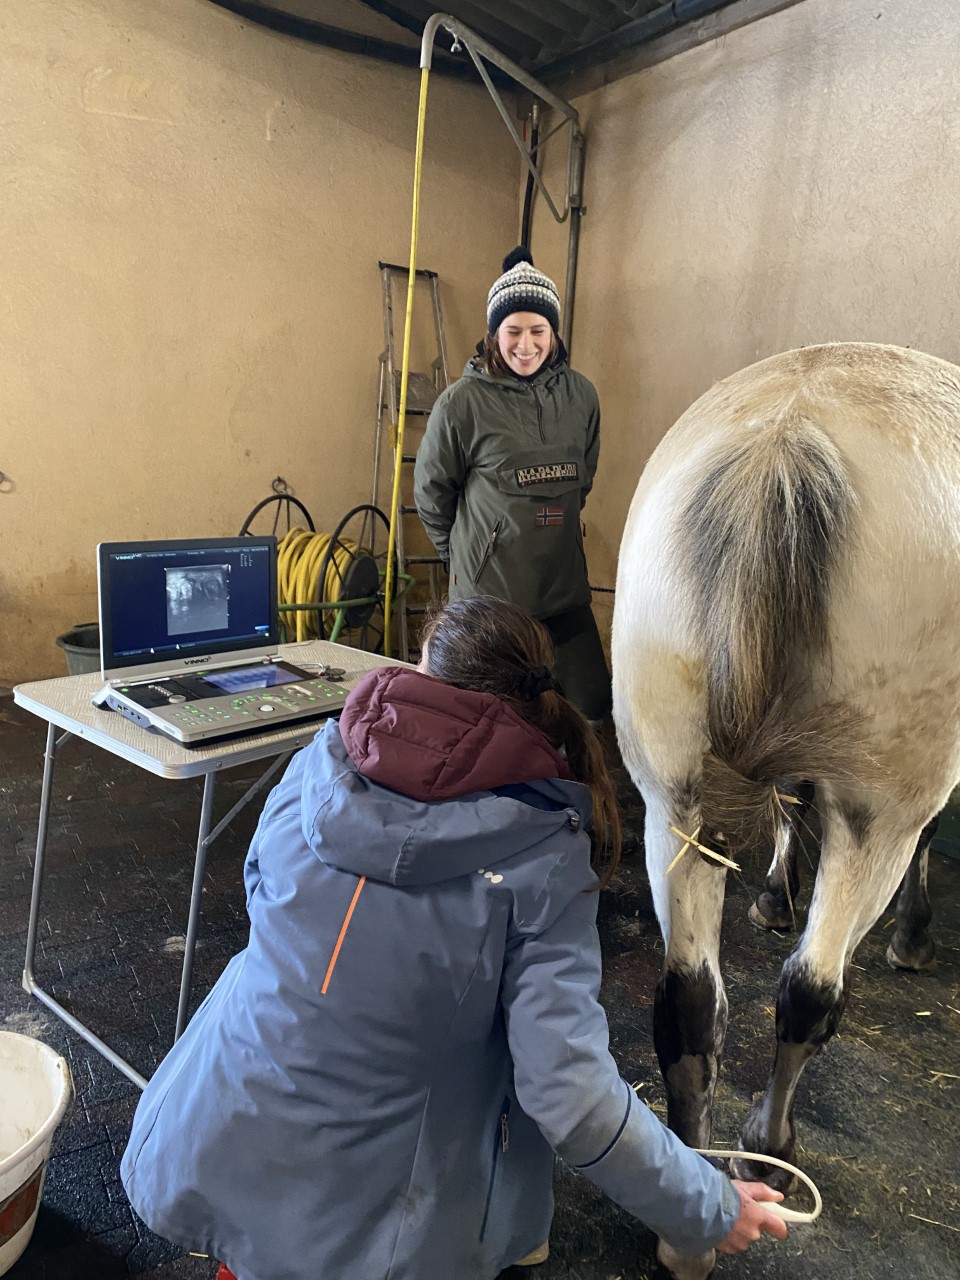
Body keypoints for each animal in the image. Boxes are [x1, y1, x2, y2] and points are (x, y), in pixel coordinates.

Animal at [616, 343, 960, 1280]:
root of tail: (783, 446)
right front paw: (914, 934)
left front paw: (773, 893)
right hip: (877, 818)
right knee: (808, 991)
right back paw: (771, 1142)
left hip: (676, 803)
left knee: (690, 1001)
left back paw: (693, 1220)